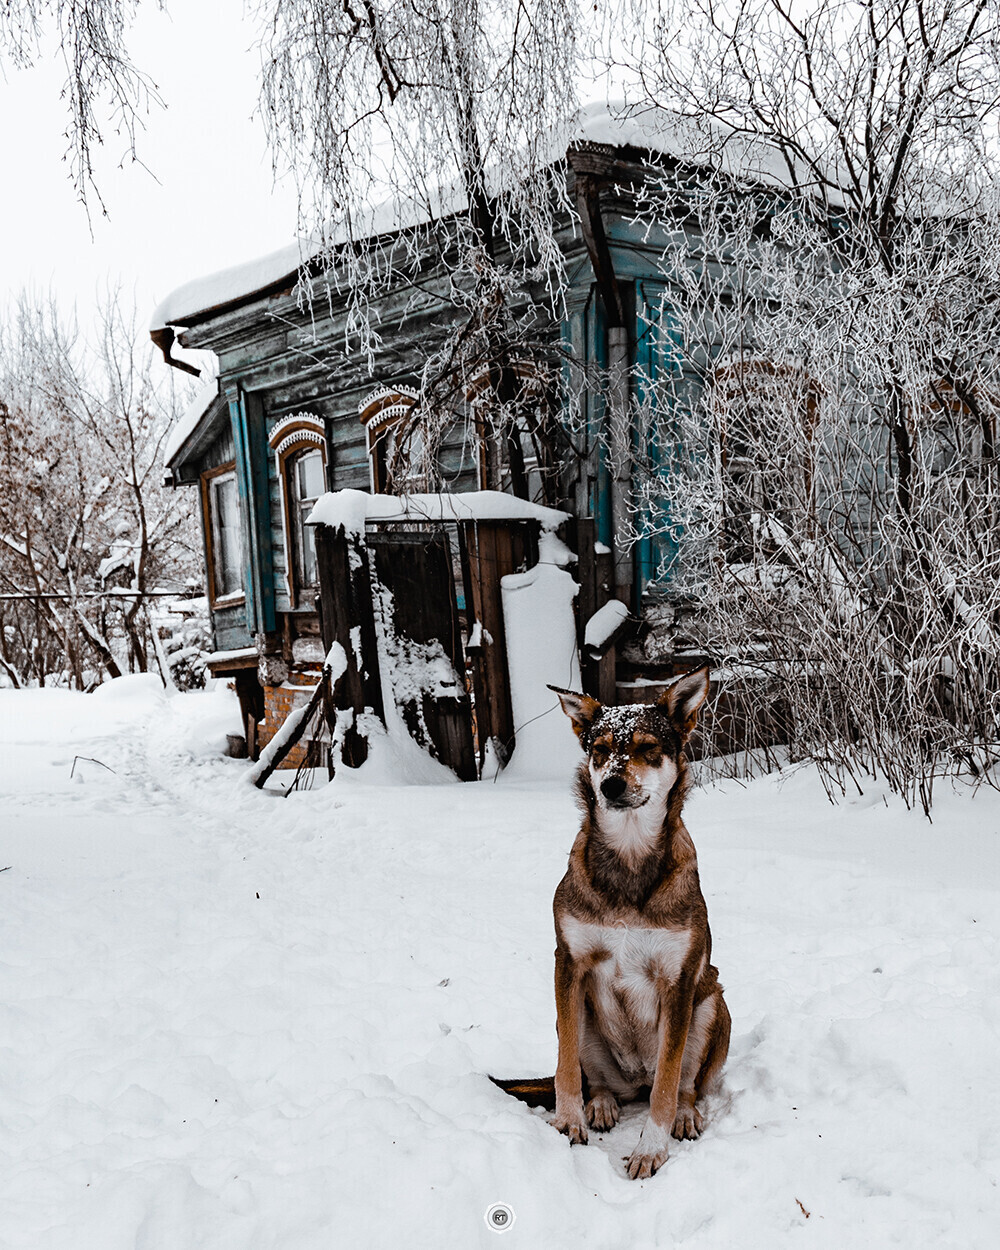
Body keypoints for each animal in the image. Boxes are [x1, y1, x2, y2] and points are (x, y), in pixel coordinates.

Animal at [542, 670, 730, 1175]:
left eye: (648, 748)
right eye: (600, 749)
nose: (610, 785)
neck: (628, 855)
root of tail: (633, 1081)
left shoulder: (678, 980)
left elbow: (669, 1079)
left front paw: (651, 1149)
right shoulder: (569, 963)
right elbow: (565, 1068)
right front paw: (568, 1123)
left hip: (713, 1004)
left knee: (681, 1084)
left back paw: (683, 1113)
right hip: (579, 1013)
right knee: (597, 1078)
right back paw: (602, 1104)